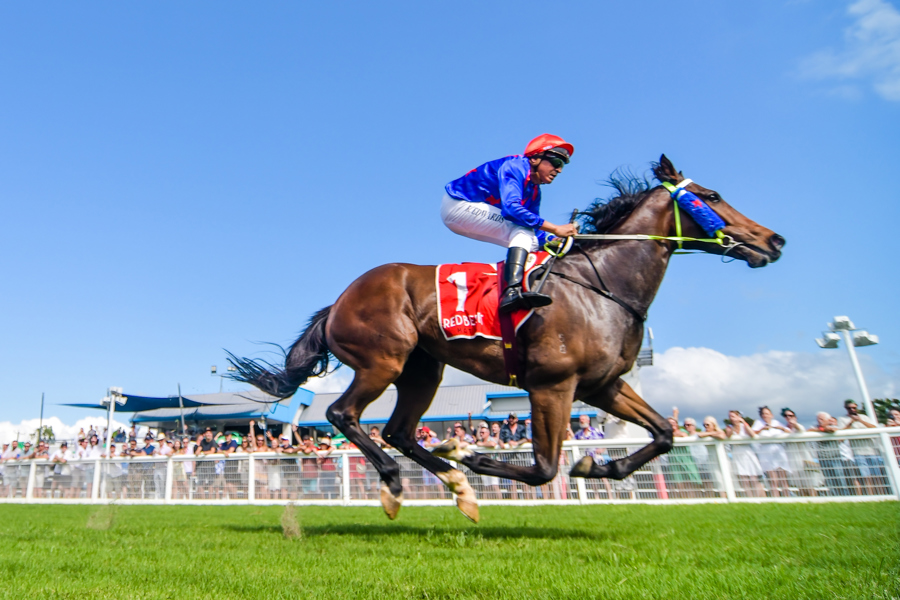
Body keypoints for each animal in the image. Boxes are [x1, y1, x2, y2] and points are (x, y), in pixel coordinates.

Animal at [227, 155, 784, 522]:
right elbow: (542, 467)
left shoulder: (602, 386)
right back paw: (399, 481)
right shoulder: (552, 385)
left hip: (423, 370)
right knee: (344, 415)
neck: (604, 285)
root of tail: (340, 300)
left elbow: (664, 433)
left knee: (400, 432)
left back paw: (456, 484)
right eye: (711, 197)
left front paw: (601, 464)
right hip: (382, 361)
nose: (774, 239)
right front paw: (476, 457)